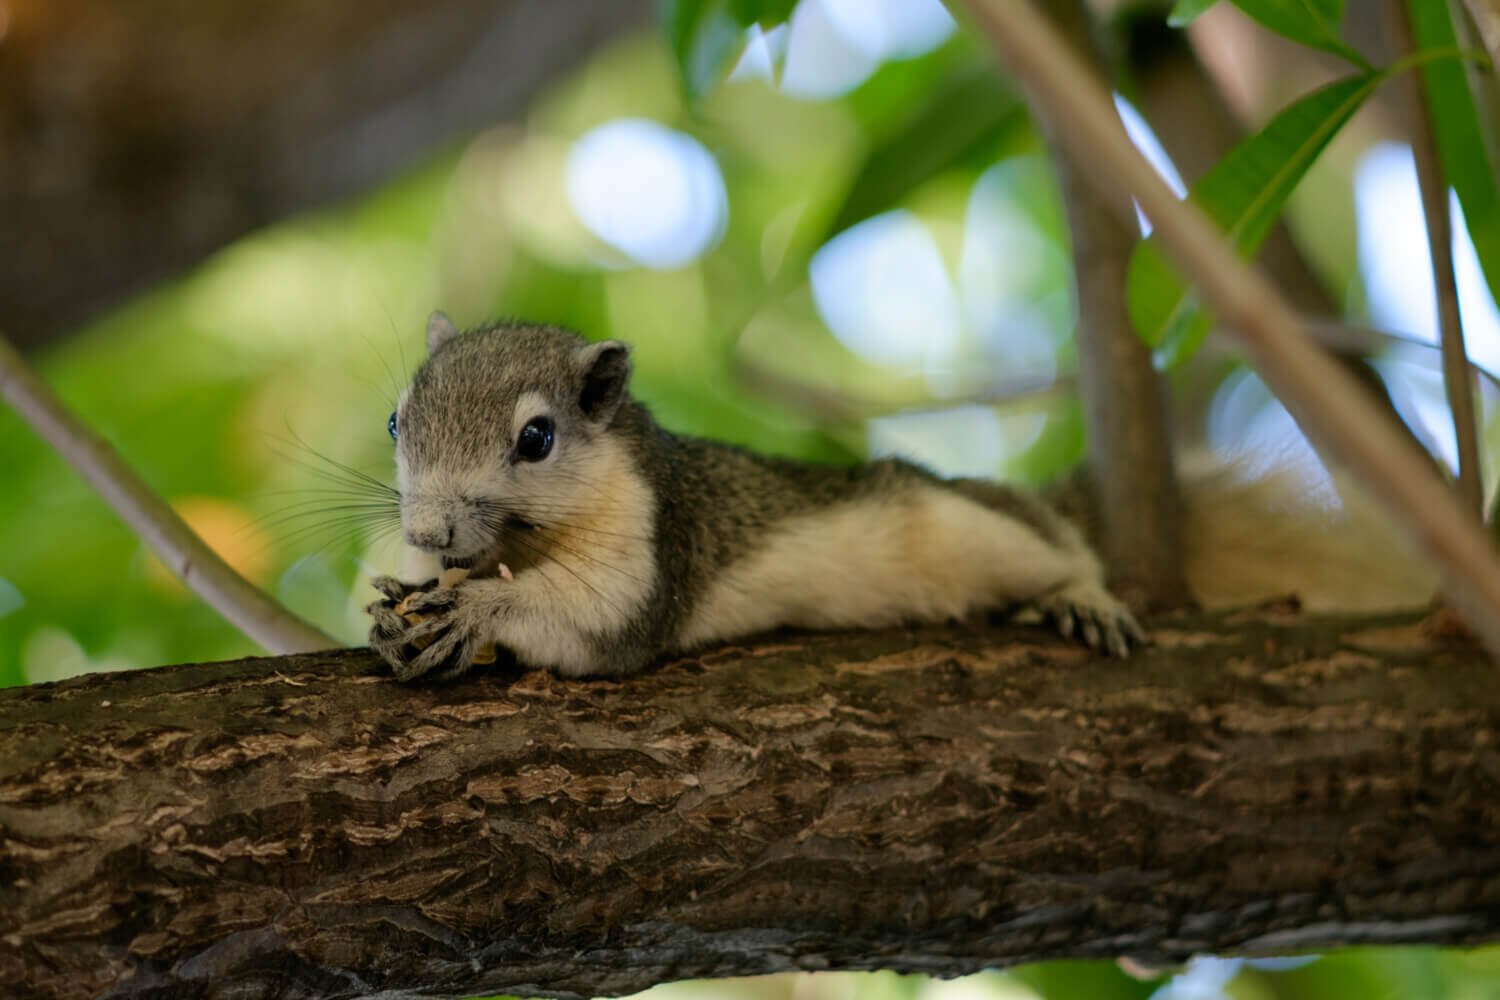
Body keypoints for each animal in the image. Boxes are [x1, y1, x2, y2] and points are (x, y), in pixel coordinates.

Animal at [363, 314, 1428, 680]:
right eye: (395, 422)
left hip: (972, 526)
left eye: (537, 439)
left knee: (1053, 542)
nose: (429, 530)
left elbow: (599, 623)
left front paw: (478, 609)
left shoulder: (656, 539)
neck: (530, 540)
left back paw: (1080, 594)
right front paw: (404, 609)